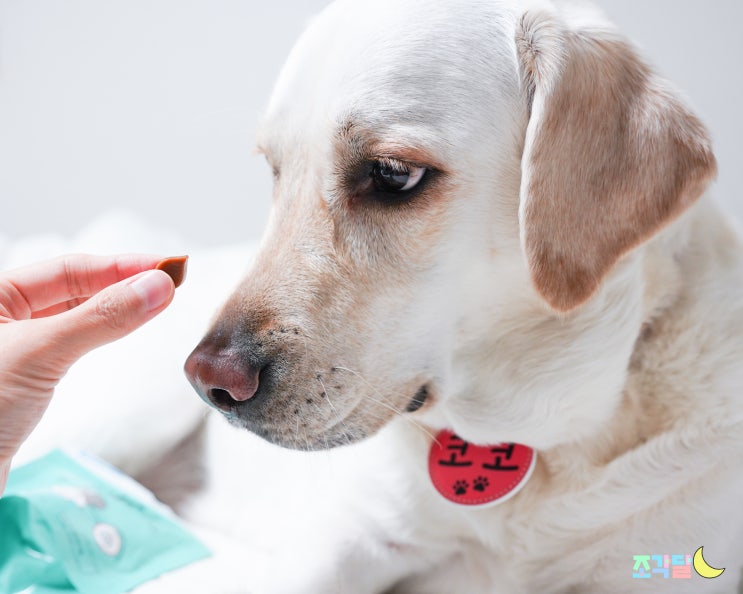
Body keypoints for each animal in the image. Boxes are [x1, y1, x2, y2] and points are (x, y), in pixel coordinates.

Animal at [17, 1, 743, 592]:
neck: (537, 442)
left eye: (393, 174)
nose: (209, 381)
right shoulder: (345, 542)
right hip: (130, 409)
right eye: (275, 171)